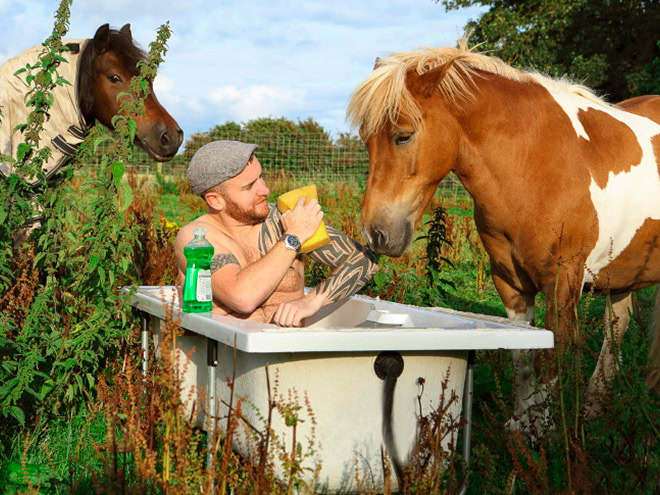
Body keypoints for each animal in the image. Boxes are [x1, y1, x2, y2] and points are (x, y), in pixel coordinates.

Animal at [348, 39, 656, 430]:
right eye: (365, 139)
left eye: (403, 135)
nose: (376, 233)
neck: (535, 161)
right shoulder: (509, 281)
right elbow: (522, 354)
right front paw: (523, 423)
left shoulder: (563, 283)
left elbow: (550, 360)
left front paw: (547, 432)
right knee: (617, 324)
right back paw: (595, 405)